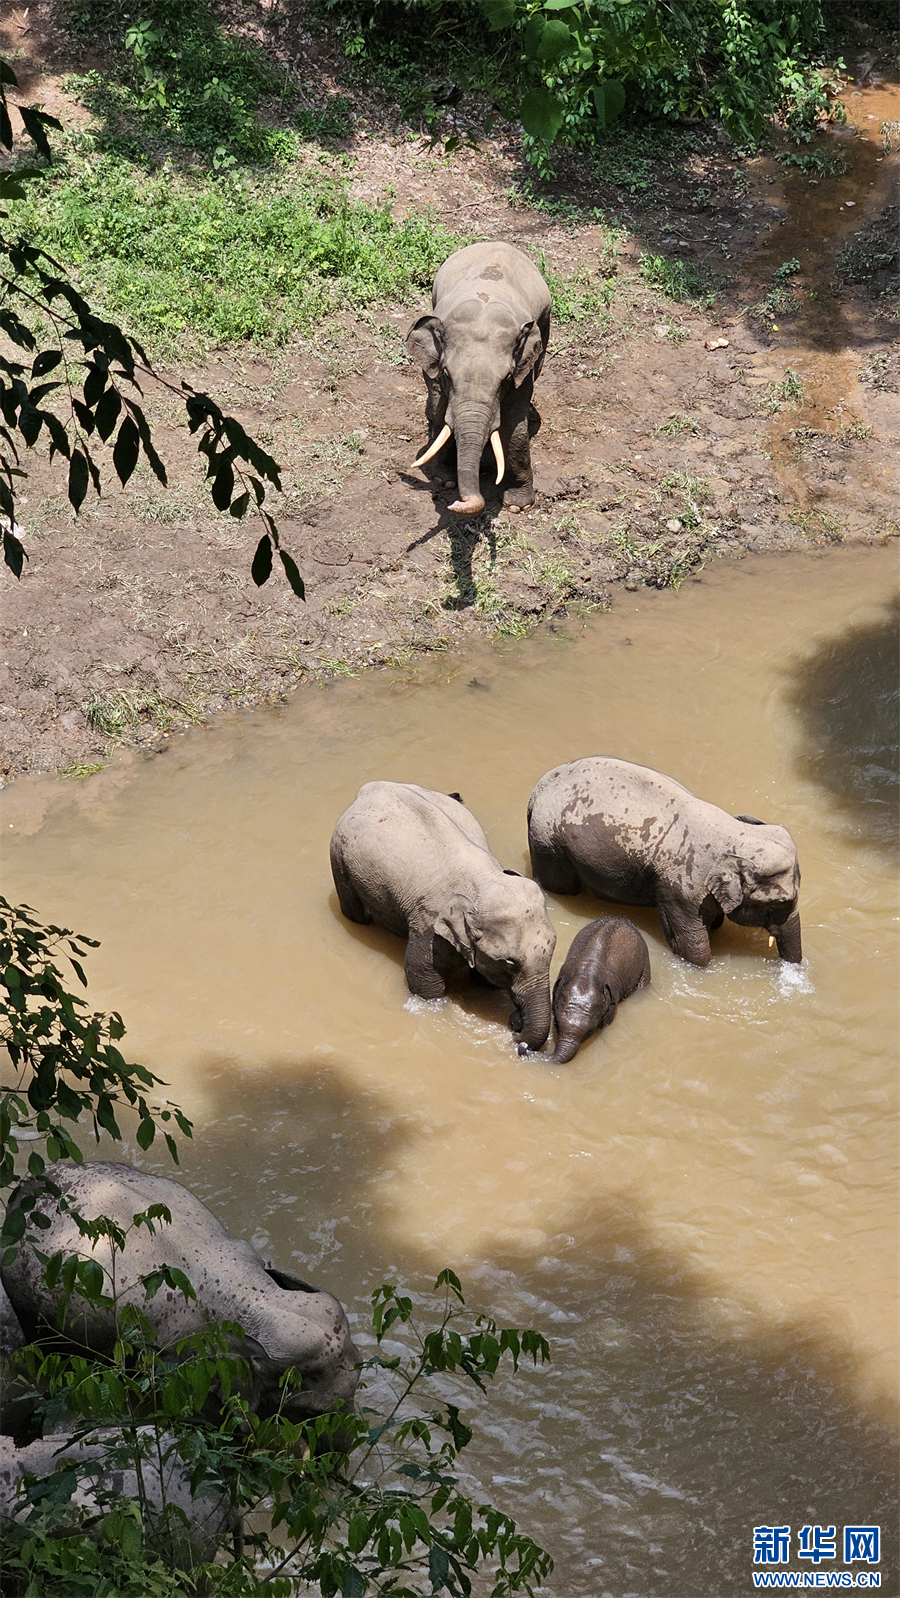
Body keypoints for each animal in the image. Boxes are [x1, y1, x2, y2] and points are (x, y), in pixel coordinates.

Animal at [330, 780, 556, 1049]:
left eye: (553, 949)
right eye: (510, 964)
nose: (516, 1028)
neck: (484, 878)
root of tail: (372, 786)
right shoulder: (428, 925)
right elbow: (424, 981)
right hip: (339, 858)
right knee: (354, 913)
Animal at [406, 241, 551, 516]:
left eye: (506, 378)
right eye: (446, 373)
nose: (457, 502)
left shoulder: (521, 370)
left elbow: (515, 426)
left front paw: (518, 506)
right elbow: (440, 409)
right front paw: (443, 480)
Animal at [519, 917, 651, 1064]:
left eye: (590, 1031)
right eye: (556, 1023)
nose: (524, 1046)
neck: (587, 973)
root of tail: (622, 919)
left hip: (645, 963)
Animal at [527, 757, 802, 968]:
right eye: (779, 902)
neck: (735, 833)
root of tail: (538, 789)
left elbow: (713, 922)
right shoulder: (681, 889)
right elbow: (691, 946)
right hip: (548, 844)